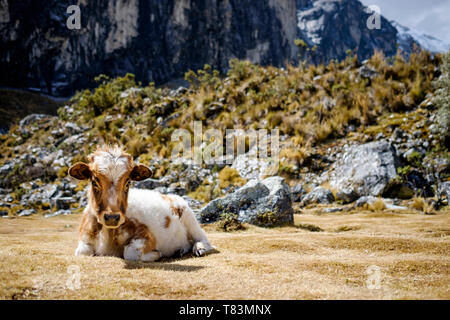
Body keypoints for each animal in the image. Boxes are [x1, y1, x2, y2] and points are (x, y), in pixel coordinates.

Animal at [68, 146, 213, 262]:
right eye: (94, 182)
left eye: (128, 182)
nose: (112, 217)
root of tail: (171, 195)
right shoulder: (85, 238)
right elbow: (82, 252)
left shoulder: (146, 235)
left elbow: (130, 253)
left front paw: (157, 254)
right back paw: (180, 250)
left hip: (190, 218)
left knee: (203, 238)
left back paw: (199, 248)